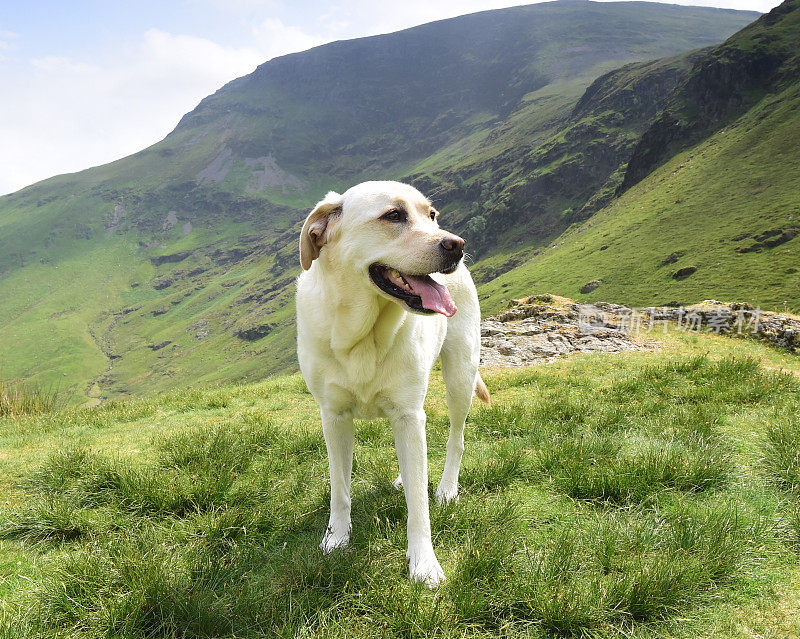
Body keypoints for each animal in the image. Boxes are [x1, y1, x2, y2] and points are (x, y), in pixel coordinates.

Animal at [296, 181, 488, 592]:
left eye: (431, 215)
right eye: (394, 215)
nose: (457, 244)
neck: (362, 333)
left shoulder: (408, 415)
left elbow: (419, 506)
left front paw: (424, 563)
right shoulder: (333, 417)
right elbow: (340, 489)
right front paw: (337, 539)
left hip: (461, 374)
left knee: (456, 437)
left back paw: (446, 488)